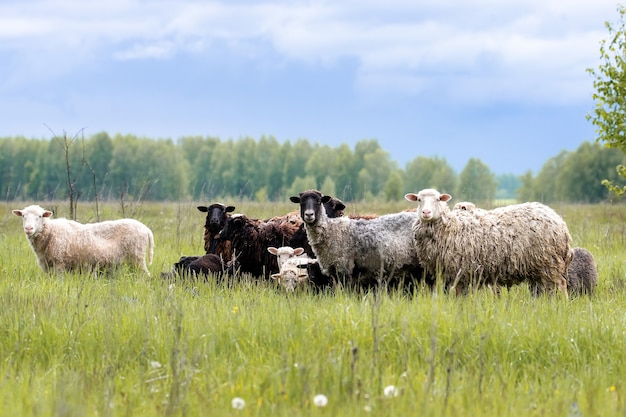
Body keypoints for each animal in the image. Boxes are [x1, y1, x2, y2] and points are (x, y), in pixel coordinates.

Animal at [13, 204, 154, 274]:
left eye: (40, 216)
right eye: (23, 216)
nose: (29, 228)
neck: (50, 232)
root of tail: (146, 229)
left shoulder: (59, 263)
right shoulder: (47, 266)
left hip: (137, 256)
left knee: (145, 275)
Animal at [290, 188, 422, 290]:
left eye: (318, 201)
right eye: (301, 202)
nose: (309, 215)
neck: (332, 229)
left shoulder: (344, 267)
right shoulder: (332, 270)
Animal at [404, 187, 572, 298]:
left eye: (438, 199)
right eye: (419, 200)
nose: (426, 212)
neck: (452, 226)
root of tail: (559, 222)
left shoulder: (459, 270)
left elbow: (458, 296)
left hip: (550, 262)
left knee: (561, 286)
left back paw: (562, 306)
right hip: (540, 267)